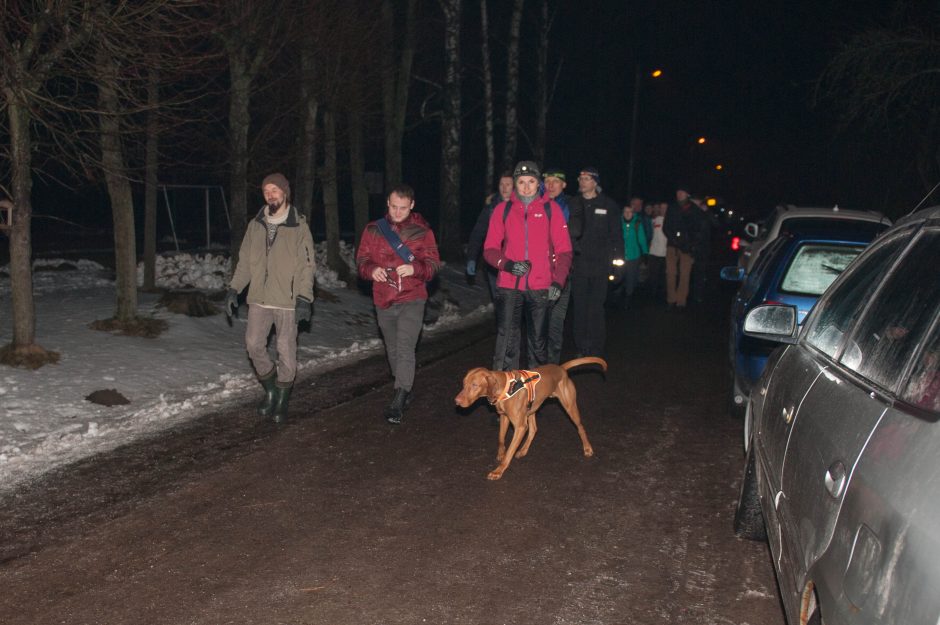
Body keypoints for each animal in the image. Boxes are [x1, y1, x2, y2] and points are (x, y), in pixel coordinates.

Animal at [458, 356, 608, 478]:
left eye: (475, 385)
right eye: (464, 383)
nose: (456, 401)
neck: (505, 387)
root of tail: (561, 369)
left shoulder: (519, 427)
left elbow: (510, 451)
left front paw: (498, 471)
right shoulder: (504, 417)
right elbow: (501, 438)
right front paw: (501, 454)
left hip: (569, 407)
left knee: (580, 427)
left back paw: (587, 448)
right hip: (531, 410)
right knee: (534, 429)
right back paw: (523, 450)